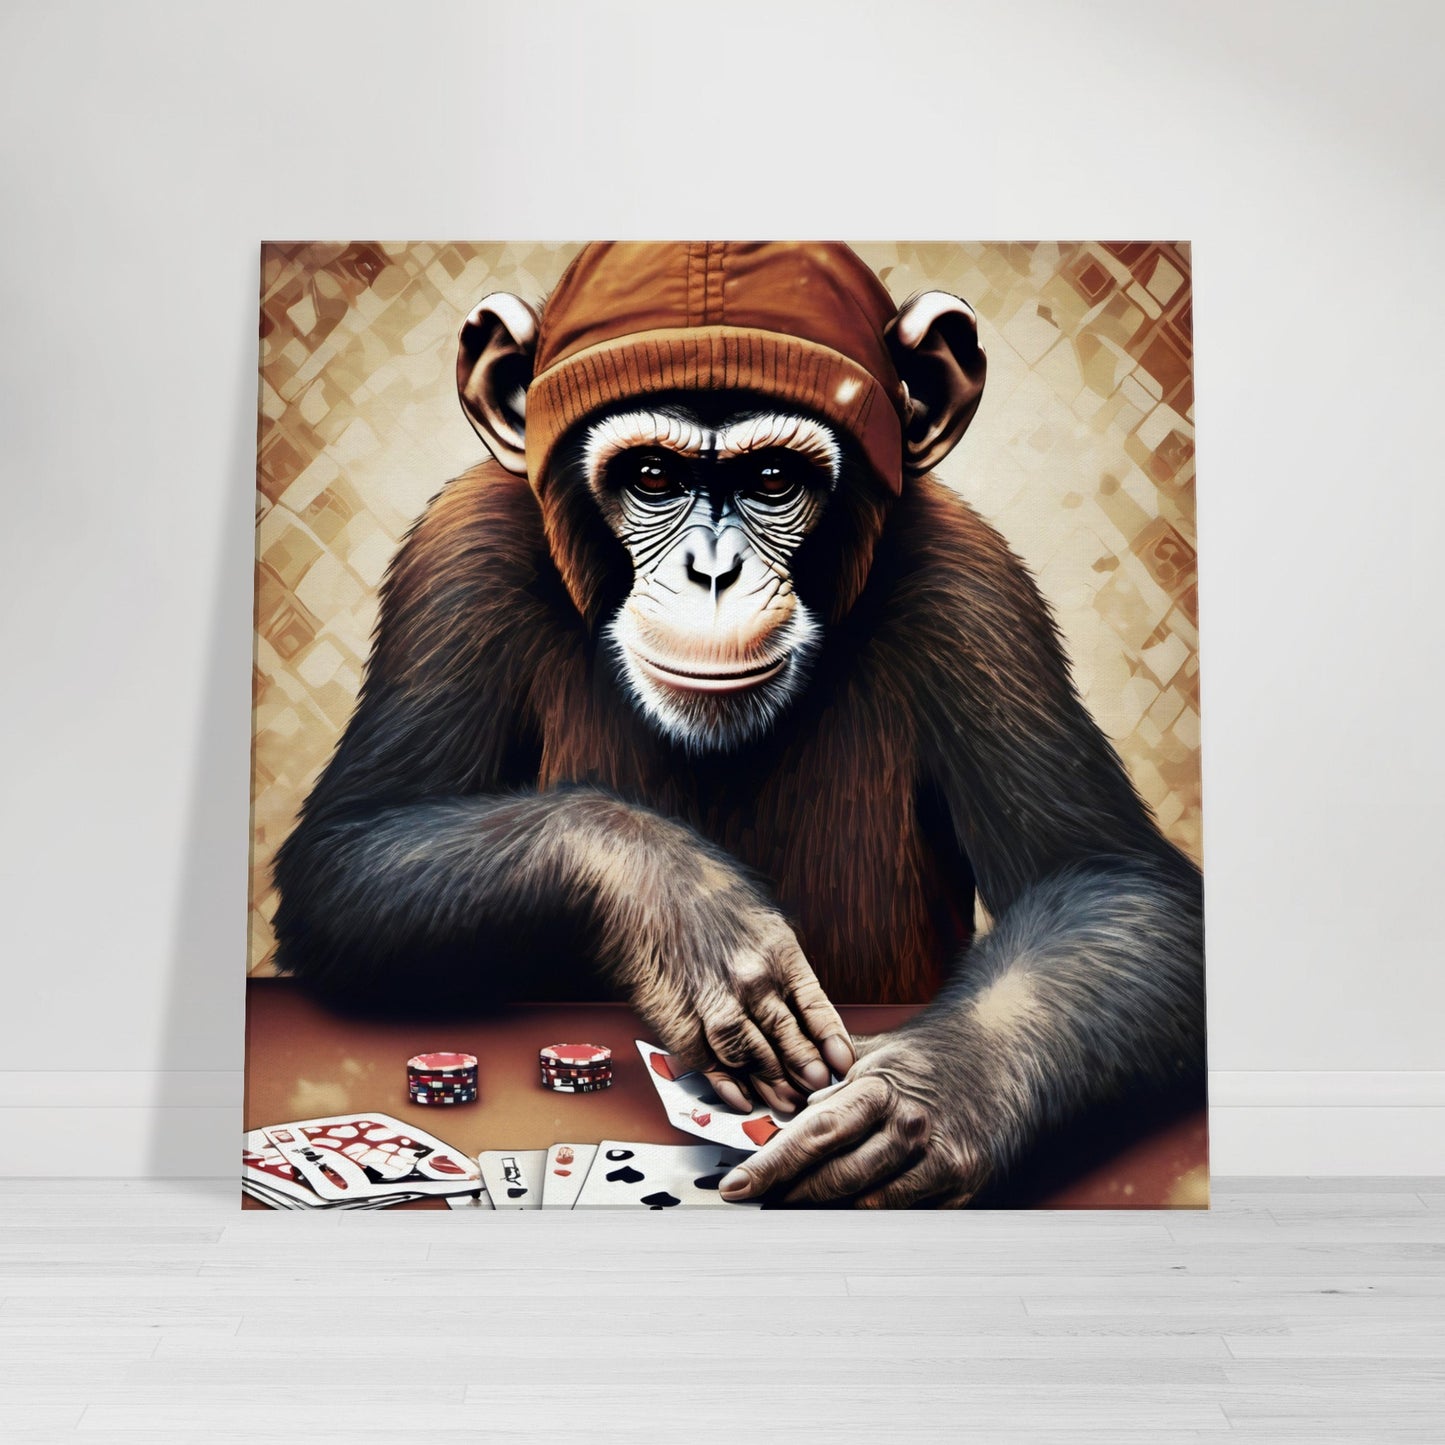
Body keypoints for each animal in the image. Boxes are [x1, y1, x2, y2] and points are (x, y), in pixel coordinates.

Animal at [272, 242, 1205, 1207]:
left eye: (771, 480)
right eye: (653, 476)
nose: (712, 571)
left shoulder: (970, 583)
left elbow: (1104, 877)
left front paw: (921, 1100)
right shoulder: (460, 553)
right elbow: (352, 845)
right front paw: (690, 914)